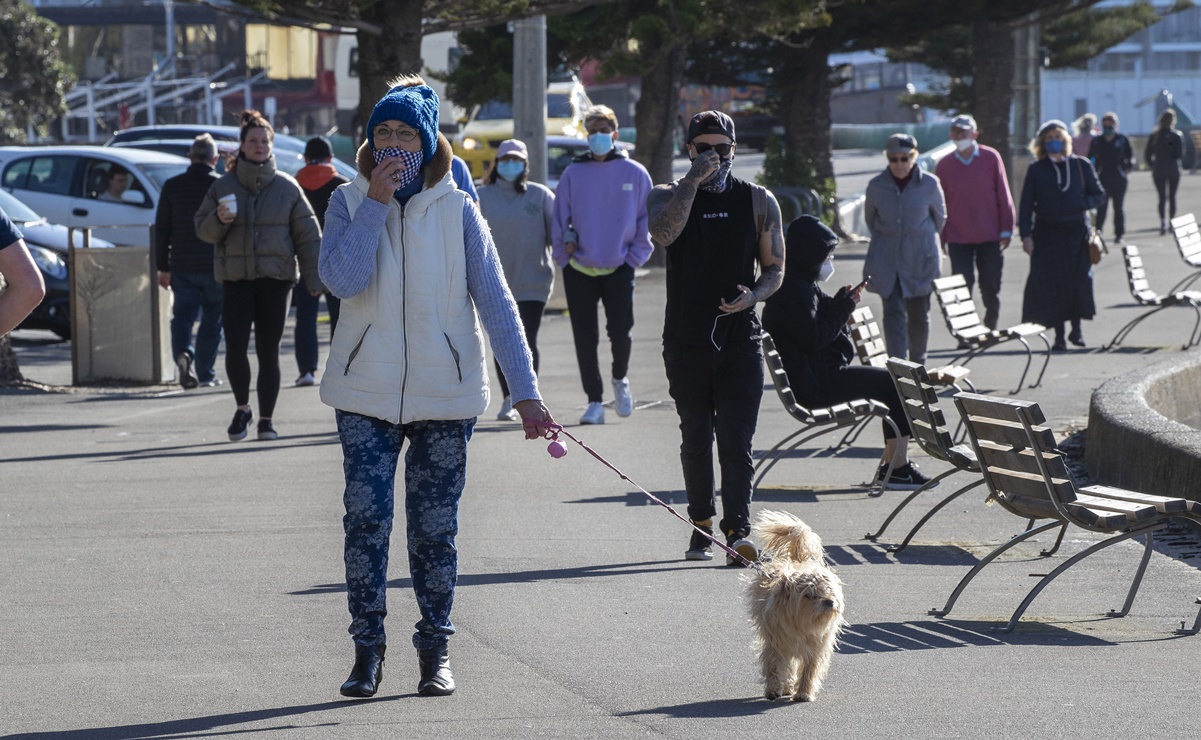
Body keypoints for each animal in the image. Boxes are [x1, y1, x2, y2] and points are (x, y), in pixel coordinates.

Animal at [739, 511, 845, 701]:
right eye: (809, 595)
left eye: (830, 591)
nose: (829, 601)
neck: (801, 624)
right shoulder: (776, 644)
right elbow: (774, 666)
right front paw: (774, 689)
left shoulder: (814, 648)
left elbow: (809, 670)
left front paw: (804, 692)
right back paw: (786, 686)